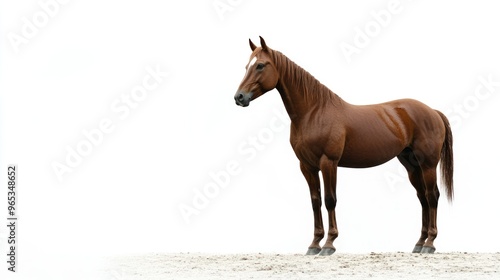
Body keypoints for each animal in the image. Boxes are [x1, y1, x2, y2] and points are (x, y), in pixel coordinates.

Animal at [234, 36, 454, 255]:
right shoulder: (307, 166)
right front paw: (314, 244)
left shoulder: (328, 162)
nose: (239, 97)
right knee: (422, 198)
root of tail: (432, 111)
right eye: (246, 66)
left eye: (260, 65)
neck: (313, 112)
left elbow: (330, 200)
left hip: (428, 165)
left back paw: (430, 243)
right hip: (411, 165)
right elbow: (315, 201)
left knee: (432, 196)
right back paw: (419, 243)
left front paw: (329, 244)